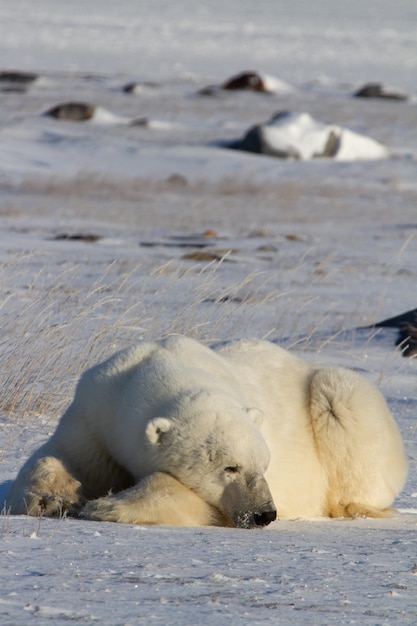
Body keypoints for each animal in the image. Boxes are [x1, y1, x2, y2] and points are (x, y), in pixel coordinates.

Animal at [4, 334, 404, 524]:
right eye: (230, 467)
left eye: (264, 465)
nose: (264, 514)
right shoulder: (95, 409)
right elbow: (59, 456)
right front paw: (53, 498)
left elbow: (183, 493)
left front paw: (106, 506)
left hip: (338, 395)